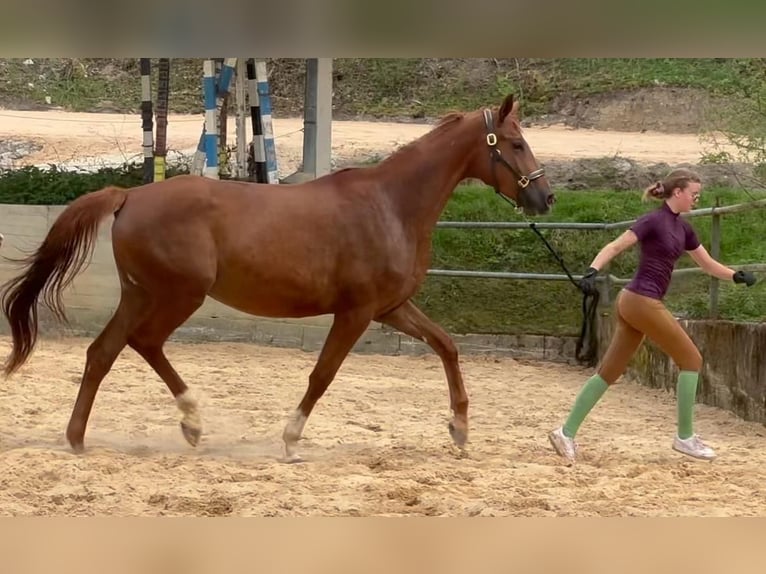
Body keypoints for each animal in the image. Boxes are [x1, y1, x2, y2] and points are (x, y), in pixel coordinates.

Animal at [0, 94, 552, 464]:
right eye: (516, 143)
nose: (545, 198)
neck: (391, 205)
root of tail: (128, 196)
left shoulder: (391, 308)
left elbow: (447, 345)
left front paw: (459, 428)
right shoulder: (356, 312)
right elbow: (322, 375)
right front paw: (290, 440)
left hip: (141, 294)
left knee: (103, 352)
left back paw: (80, 439)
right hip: (179, 295)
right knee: (143, 342)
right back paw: (191, 420)